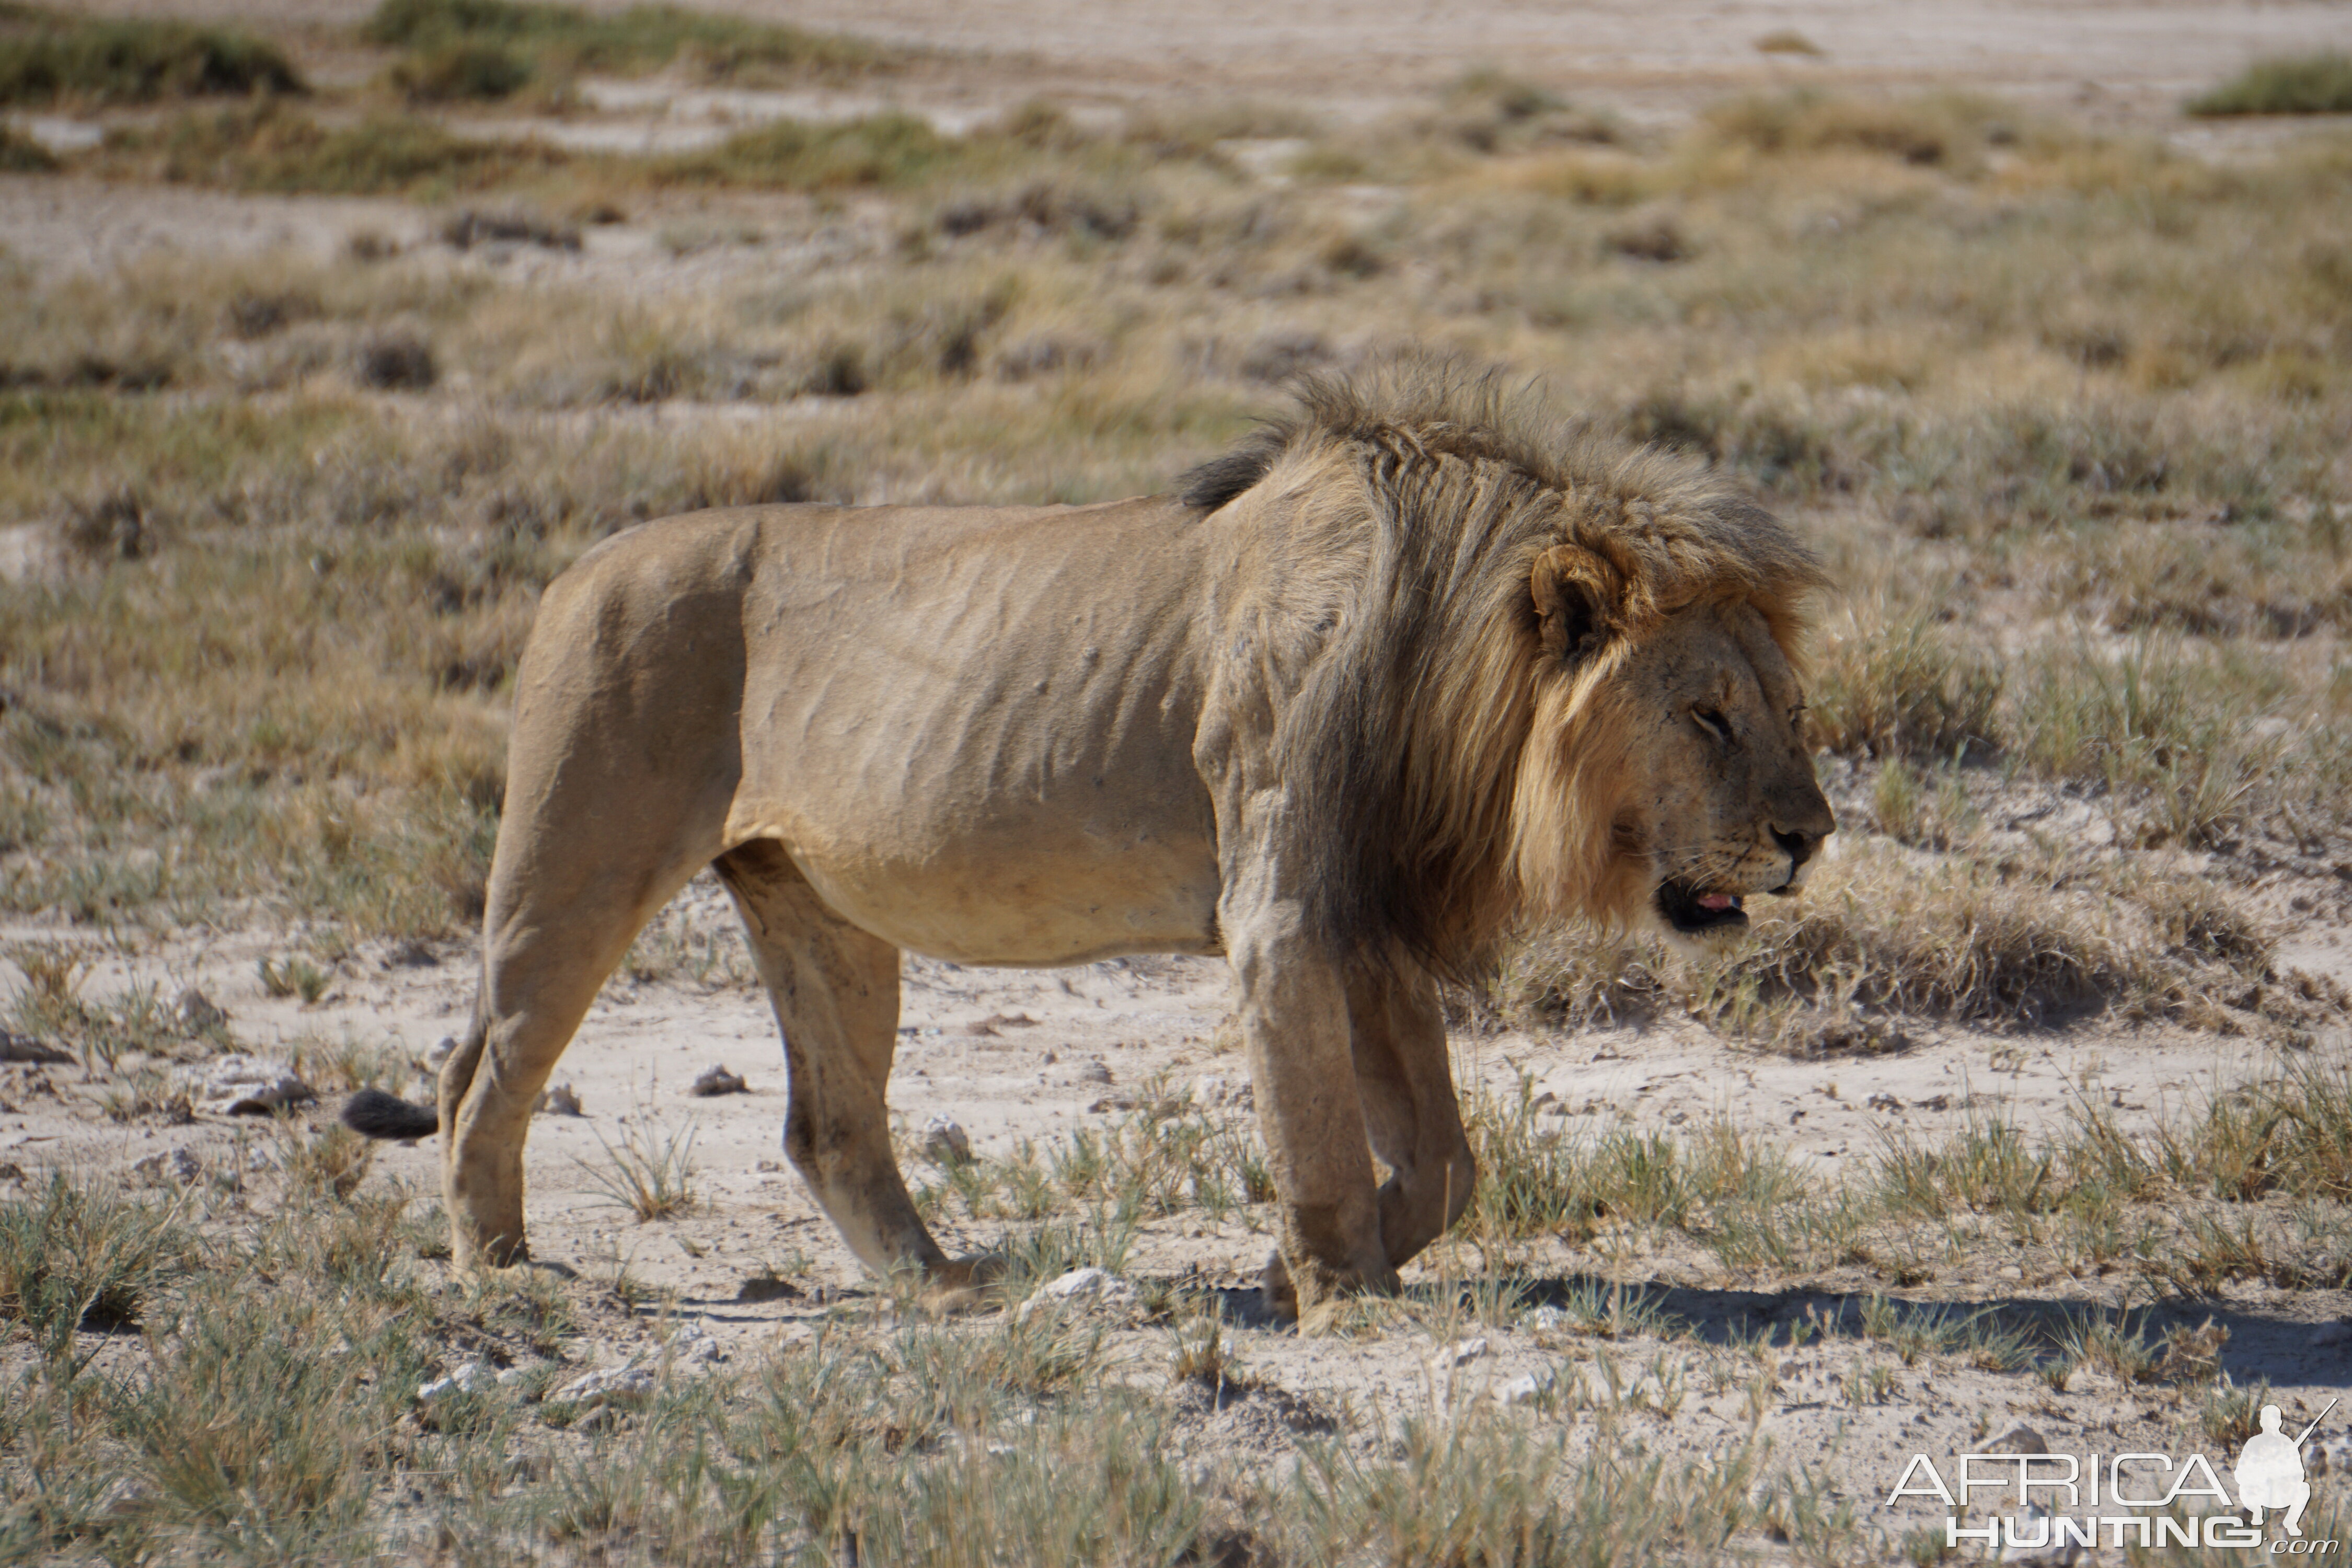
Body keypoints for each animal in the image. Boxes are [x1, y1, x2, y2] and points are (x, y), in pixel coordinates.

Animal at [343, 364, 1835, 1316]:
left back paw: (940, 1285)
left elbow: (1444, 1159)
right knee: (481, 1073)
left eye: (1787, 710)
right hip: (576, 857)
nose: (1809, 835)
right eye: (1705, 715)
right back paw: (499, 1269)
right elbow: (1319, 1130)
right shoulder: (1282, 906)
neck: (1446, 658)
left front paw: (1289, 1273)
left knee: (826, 1123)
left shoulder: (1363, 912)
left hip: (817, 910)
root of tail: (571, 570)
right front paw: (1340, 1294)